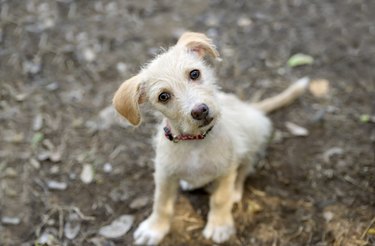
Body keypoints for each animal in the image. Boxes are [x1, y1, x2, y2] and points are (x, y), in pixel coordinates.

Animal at [113, 32, 310, 244]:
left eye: (194, 74)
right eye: (163, 96)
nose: (200, 111)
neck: (195, 142)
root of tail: (249, 107)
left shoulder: (226, 170)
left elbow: (220, 199)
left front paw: (219, 226)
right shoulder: (164, 173)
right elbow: (161, 203)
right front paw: (154, 228)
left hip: (253, 137)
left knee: (244, 169)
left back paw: (235, 191)